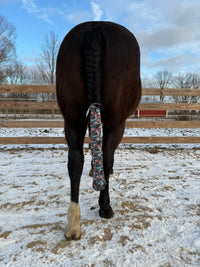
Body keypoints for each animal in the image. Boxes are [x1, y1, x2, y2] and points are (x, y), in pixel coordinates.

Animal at [55, 21, 141, 241]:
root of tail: (95, 27)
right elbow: (104, 153)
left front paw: (94, 169)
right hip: (115, 122)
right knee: (107, 156)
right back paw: (105, 207)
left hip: (73, 118)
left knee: (75, 160)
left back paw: (73, 223)